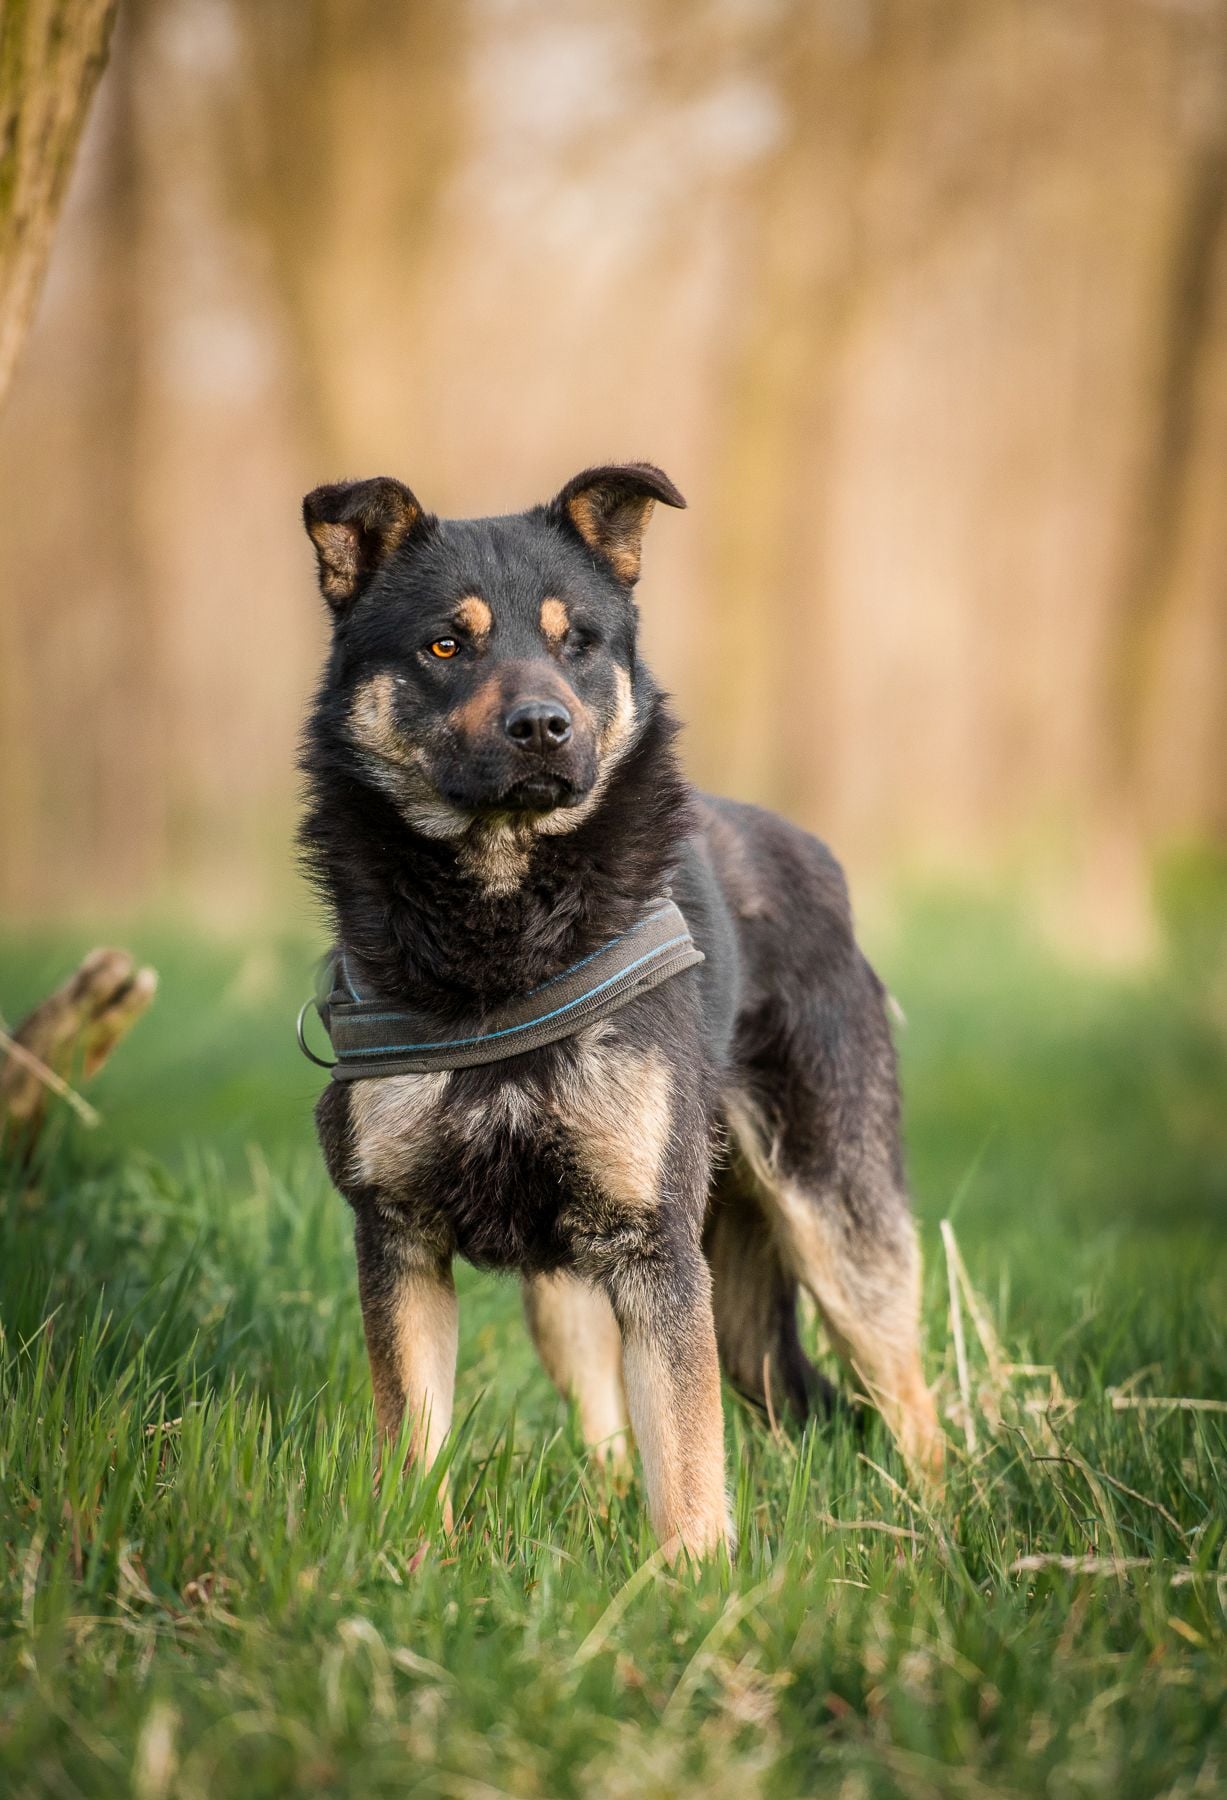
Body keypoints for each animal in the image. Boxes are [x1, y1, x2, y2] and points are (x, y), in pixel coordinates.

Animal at [298, 463, 943, 1558]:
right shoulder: (400, 1239)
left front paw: (694, 1577)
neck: (504, 924)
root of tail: (819, 863)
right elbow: (414, 1437)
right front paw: (411, 1561)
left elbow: (684, 1456)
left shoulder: (655, 1248)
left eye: (578, 642)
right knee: (603, 1418)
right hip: (566, 1284)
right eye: (445, 645)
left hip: (834, 1220)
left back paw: (945, 1519)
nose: (543, 728)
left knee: (909, 1393)